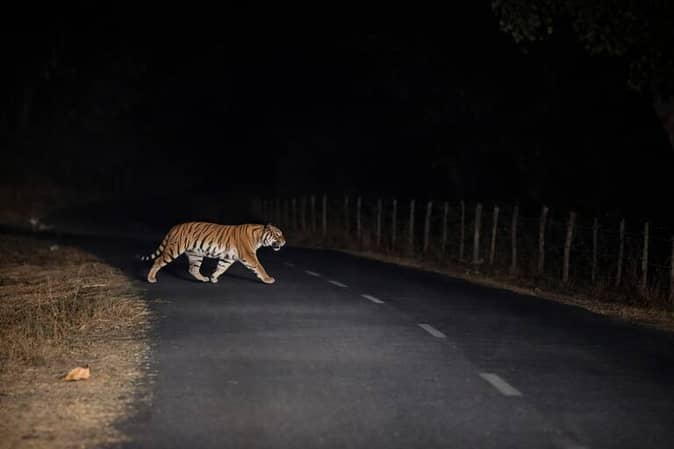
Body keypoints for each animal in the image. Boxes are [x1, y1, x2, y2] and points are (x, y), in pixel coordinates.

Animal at [139, 222, 286, 284]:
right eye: (278, 235)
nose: (284, 242)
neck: (259, 236)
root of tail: (174, 227)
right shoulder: (249, 255)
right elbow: (259, 267)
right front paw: (268, 279)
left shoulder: (228, 258)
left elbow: (221, 267)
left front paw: (213, 278)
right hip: (174, 249)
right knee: (158, 261)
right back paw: (151, 279)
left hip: (195, 254)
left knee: (193, 269)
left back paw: (204, 279)